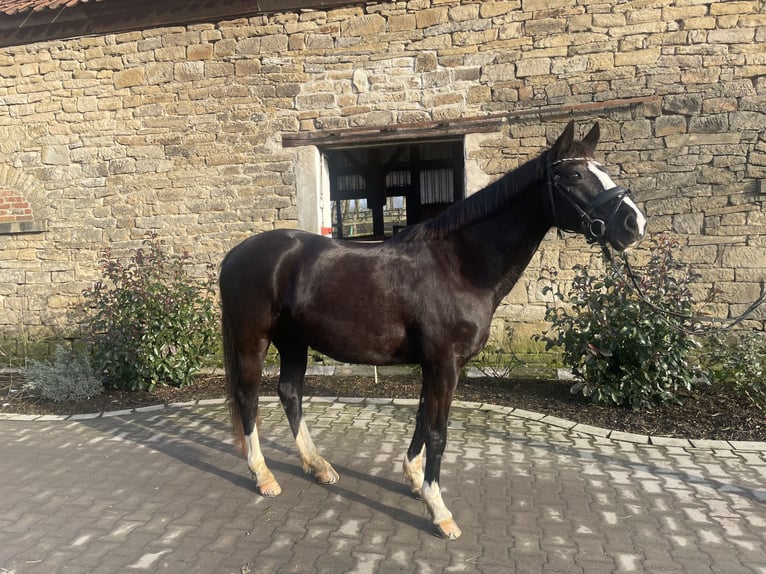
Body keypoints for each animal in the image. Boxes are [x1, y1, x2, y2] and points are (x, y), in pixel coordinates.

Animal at [220, 121, 648, 540]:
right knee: (248, 398)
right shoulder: (445, 363)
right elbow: (439, 432)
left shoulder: (433, 364)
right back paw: (263, 475)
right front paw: (439, 510)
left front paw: (413, 480)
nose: (634, 224)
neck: (459, 265)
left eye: (603, 169)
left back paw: (318, 465)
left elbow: (423, 420)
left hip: (295, 342)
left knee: (290, 393)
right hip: (254, 340)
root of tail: (237, 254)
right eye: (574, 175)